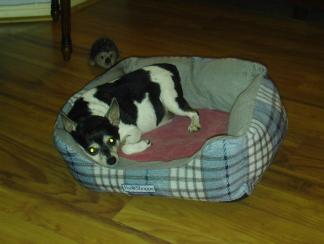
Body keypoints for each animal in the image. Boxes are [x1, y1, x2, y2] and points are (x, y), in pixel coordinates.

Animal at [61, 63, 200, 166]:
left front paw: (142, 144)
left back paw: (194, 124)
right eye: (92, 150)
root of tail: (169, 66)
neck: (89, 115)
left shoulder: (133, 130)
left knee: (194, 112)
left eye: (111, 140)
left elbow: (125, 148)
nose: (111, 161)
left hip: (172, 101)